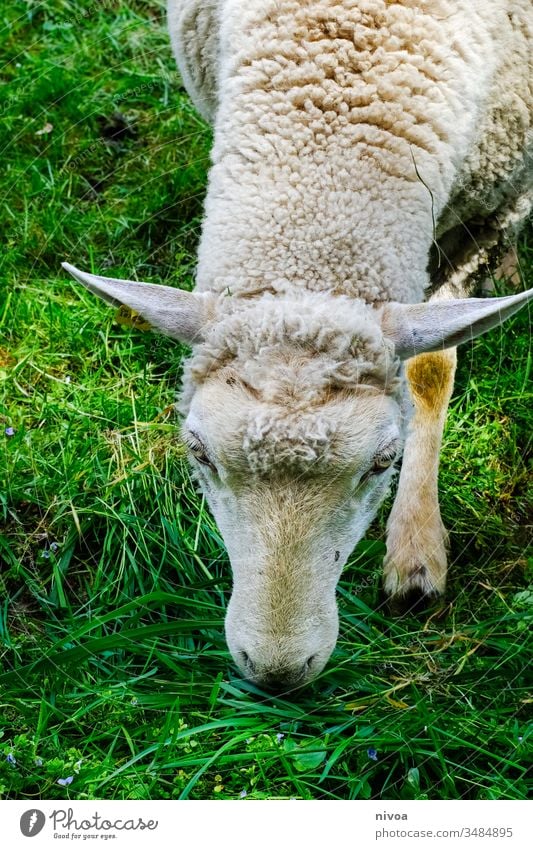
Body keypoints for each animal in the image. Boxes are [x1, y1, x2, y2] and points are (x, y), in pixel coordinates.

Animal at [63, 0, 532, 688]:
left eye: (384, 462)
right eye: (198, 454)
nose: (277, 671)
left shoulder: (488, 214)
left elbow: (429, 370)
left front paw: (416, 549)